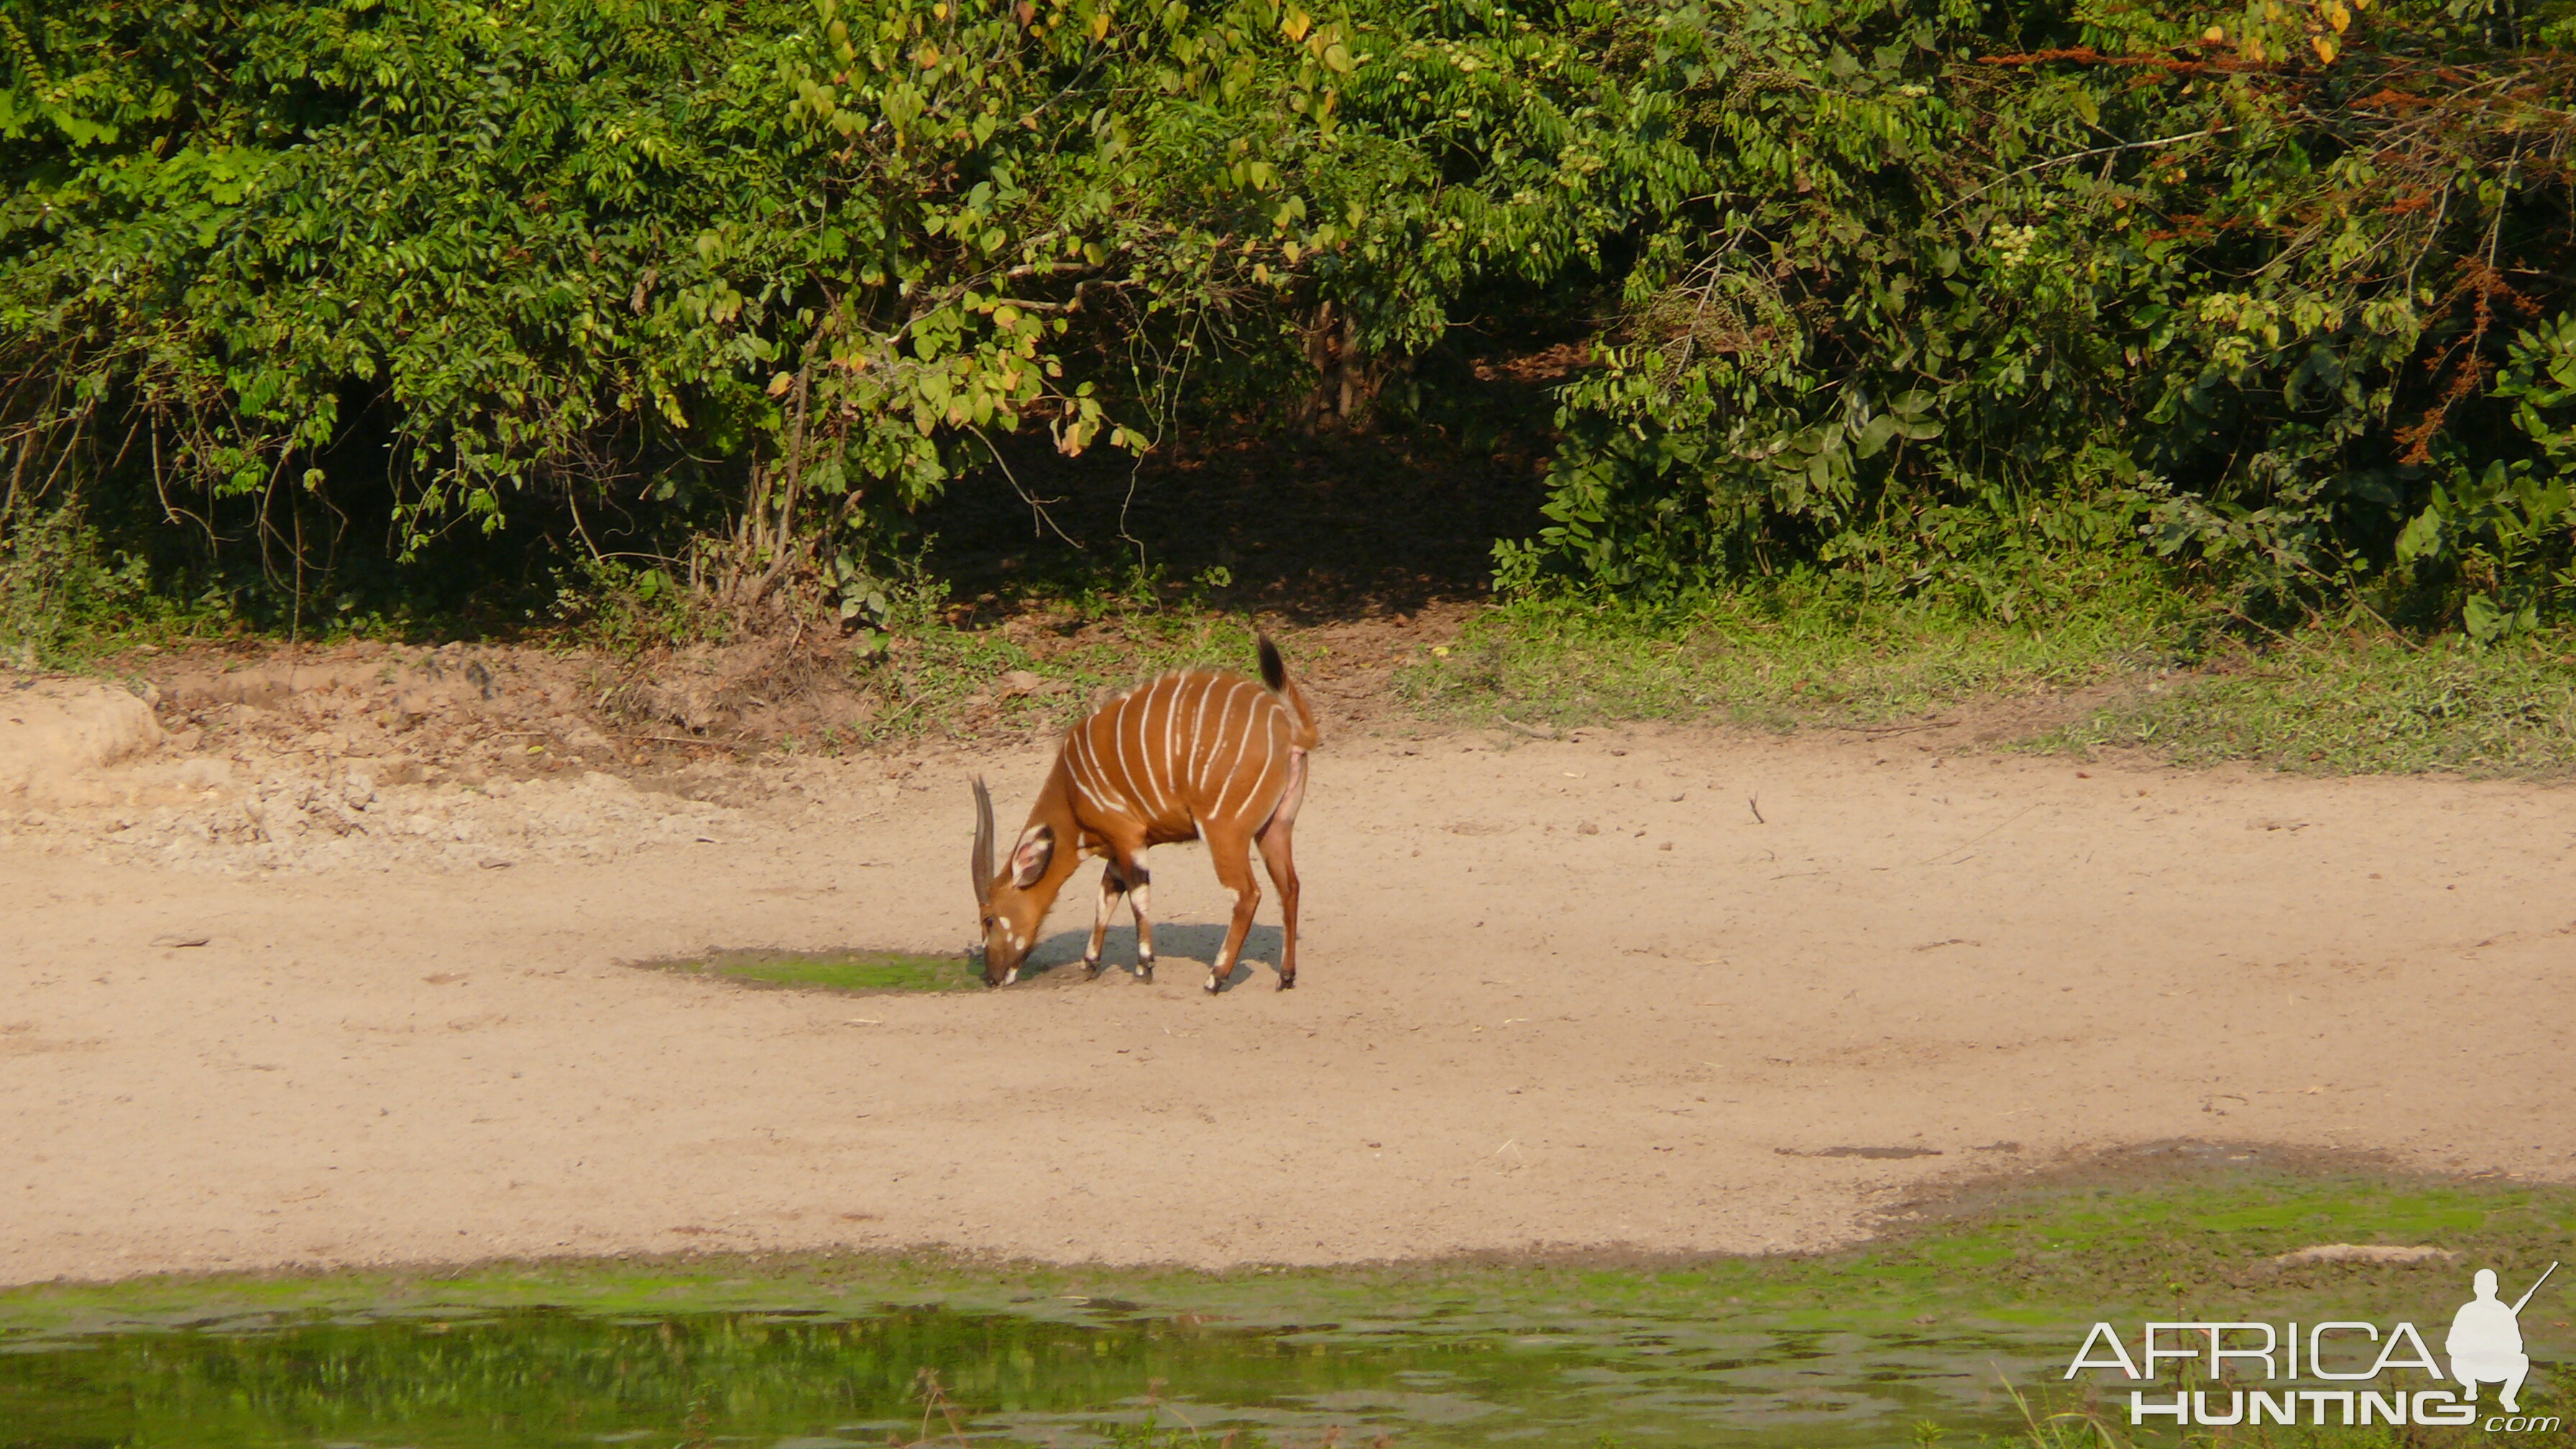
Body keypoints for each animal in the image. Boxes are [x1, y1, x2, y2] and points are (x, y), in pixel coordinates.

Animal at [973, 634, 1319, 985]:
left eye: (988, 919)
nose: (992, 977)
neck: (1070, 791)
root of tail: (1290, 730)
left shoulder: (1127, 837)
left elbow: (1137, 896)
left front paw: (1144, 965)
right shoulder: (1118, 849)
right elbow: (1106, 897)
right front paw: (1090, 963)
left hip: (1225, 831)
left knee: (1247, 894)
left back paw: (1215, 978)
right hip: (1275, 827)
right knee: (1289, 886)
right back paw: (1285, 976)